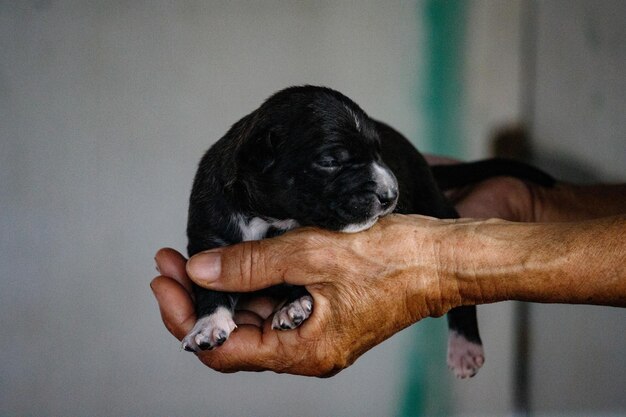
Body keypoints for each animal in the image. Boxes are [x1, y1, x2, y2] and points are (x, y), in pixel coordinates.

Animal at [183, 86, 552, 378]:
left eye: (379, 153)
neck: (268, 216)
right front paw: (209, 325)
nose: (391, 196)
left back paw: (465, 347)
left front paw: (293, 306)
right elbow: (209, 286)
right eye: (331, 161)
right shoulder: (207, 237)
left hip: (437, 206)